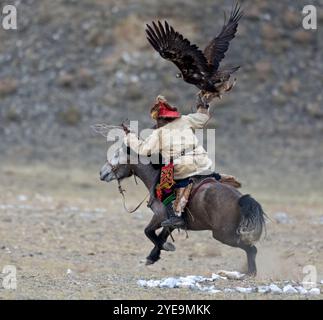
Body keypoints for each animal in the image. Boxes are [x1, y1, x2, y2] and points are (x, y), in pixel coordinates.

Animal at [100, 145, 268, 276]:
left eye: (116, 155)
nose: (102, 173)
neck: (156, 177)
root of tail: (240, 199)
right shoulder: (170, 222)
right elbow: (160, 236)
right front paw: (152, 257)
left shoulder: (159, 216)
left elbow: (148, 232)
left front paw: (167, 247)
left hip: (223, 235)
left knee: (252, 249)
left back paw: (248, 274)